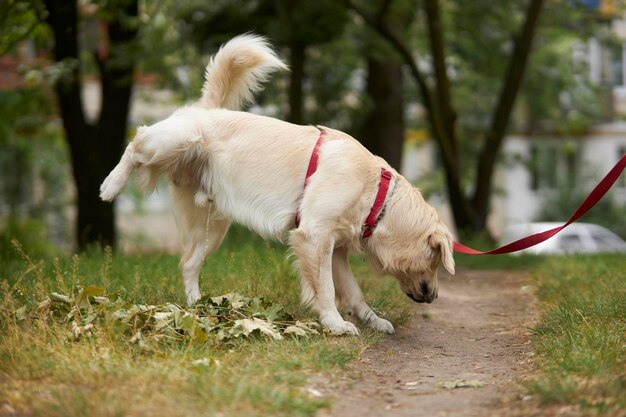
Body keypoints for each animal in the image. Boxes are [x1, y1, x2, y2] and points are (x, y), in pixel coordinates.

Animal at [101, 35, 454, 334]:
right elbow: (326, 289)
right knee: (137, 141)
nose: (434, 296)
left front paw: (372, 320)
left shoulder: (336, 247)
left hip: (211, 228)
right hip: (172, 141)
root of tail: (208, 108)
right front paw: (335, 324)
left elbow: (353, 291)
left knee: (188, 263)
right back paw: (110, 184)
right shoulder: (314, 237)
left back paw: (197, 307)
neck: (377, 193)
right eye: (436, 260)